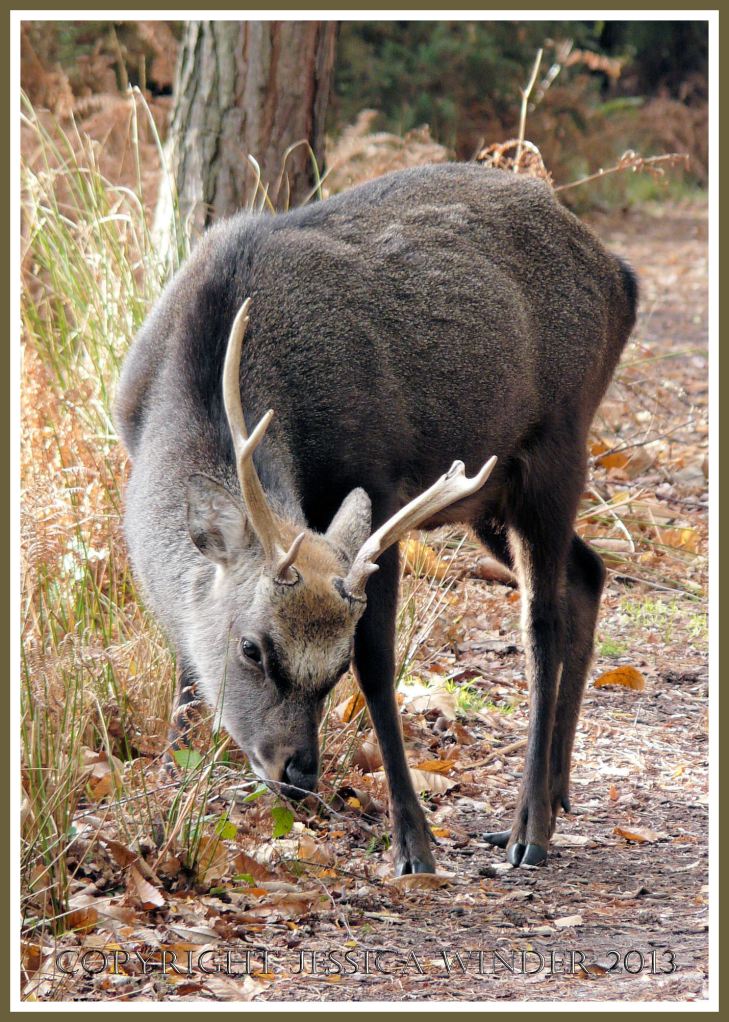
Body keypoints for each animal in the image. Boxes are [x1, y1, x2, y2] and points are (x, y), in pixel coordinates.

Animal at [115, 163, 637, 875]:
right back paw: (558, 792)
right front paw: (171, 774)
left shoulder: (381, 486)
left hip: (559, 444)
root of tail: (621, 277)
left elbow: (379, 663)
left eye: (331, 671)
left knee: (541, 621)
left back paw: (529, 826)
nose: (296, 774)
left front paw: (413, 842)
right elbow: (184, 658)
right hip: (489, 492)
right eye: (251, 648)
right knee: (588, 570)